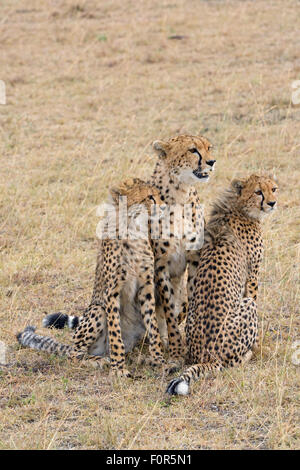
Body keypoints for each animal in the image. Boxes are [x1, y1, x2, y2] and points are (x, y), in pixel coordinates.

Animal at [17, 178, 166, 376]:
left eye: (158, 195)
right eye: (149, 197)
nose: (164, 207)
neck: (133, 229)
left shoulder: (146, 288)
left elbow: (154, 328)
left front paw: (159, 361)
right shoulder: (111, 292)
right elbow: (115, 333)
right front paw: (118, 369)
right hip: (97, 309)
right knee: (75, 353)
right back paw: (98, 360)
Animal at [42, 135, 216, 364]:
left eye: (209, 147)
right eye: (193, 150)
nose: (212, 162)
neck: (180, 194)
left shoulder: (194, 258)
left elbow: (190, 302)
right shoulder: (160, 265)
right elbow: (169, 311)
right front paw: (177, 349)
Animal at [168, 174, 278, 394]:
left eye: (273, 189)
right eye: (258, 192)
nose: (272, 203)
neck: (238, 207)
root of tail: (206, 356)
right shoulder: (252, 276)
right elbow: (254, 298)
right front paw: (258, 346)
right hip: (245, 310)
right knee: (229, 363)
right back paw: (247, 355)